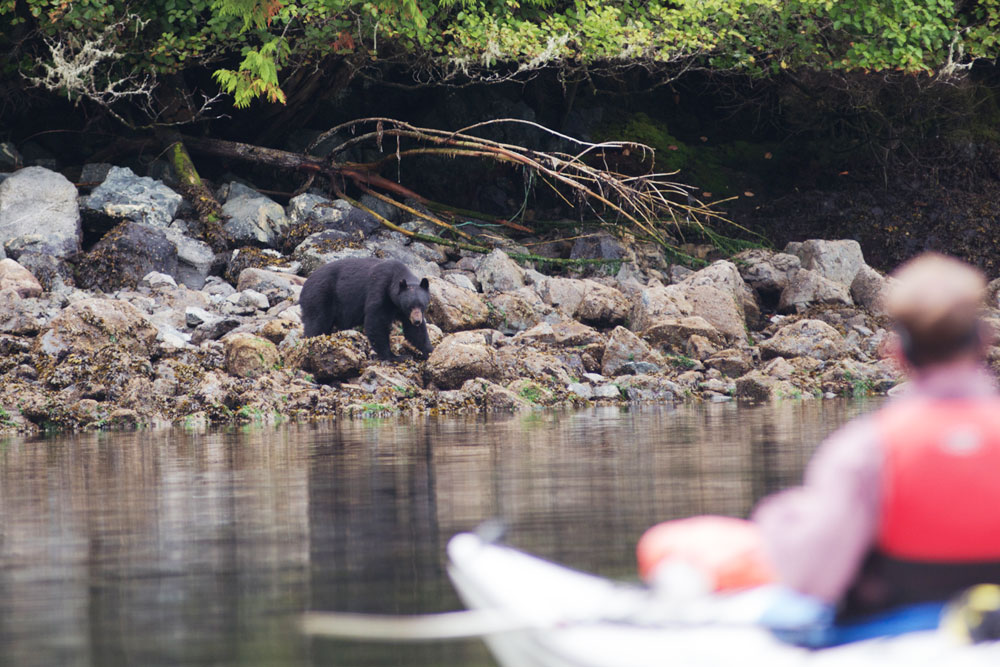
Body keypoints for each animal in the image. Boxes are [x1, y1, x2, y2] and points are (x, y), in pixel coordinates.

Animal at [300, 258, 434, 360]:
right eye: (410, 306)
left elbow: (415, 332)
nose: (417, 321)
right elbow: (376, 321)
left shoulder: (403, 311)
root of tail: (305, 285)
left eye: (422, 305)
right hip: (319, 297)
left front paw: (430, 351)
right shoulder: (379, 290)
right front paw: (393, 356)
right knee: (317, 324)